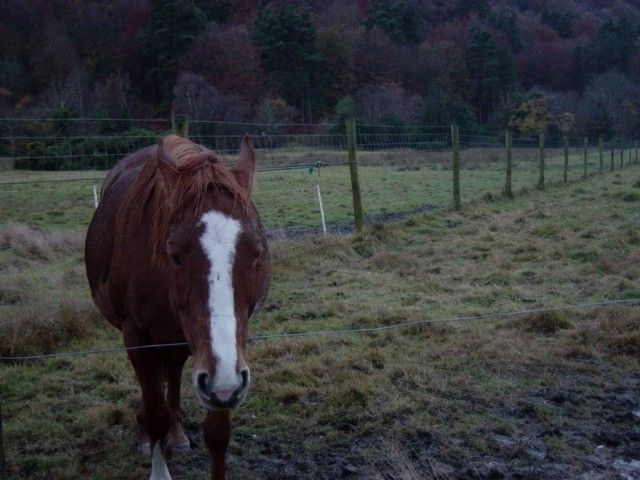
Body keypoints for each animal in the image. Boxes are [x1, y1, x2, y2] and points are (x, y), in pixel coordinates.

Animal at [85, 134, 271, 480]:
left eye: (256, 252)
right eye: (174, 253)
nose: (224, 381)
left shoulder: (224, 359)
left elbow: (218, 431)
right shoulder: (137, 337)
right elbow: (154, 410)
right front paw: (155, 454)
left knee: (171, 373)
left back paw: (178, 434)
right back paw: (146, 437)